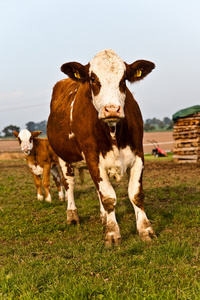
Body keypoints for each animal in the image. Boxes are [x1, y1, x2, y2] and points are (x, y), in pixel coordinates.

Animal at [47, 49, 156, 246]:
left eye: (123, 79)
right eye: (93, 79)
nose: (111, 109)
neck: (112, 132)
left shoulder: (138, 155)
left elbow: (135, 194)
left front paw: (146, 230)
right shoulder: (92, 158)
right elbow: (108, 196)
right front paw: (112, 234)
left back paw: (104, 217)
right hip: (63, 157)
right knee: (69, 184)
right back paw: (72, 216)